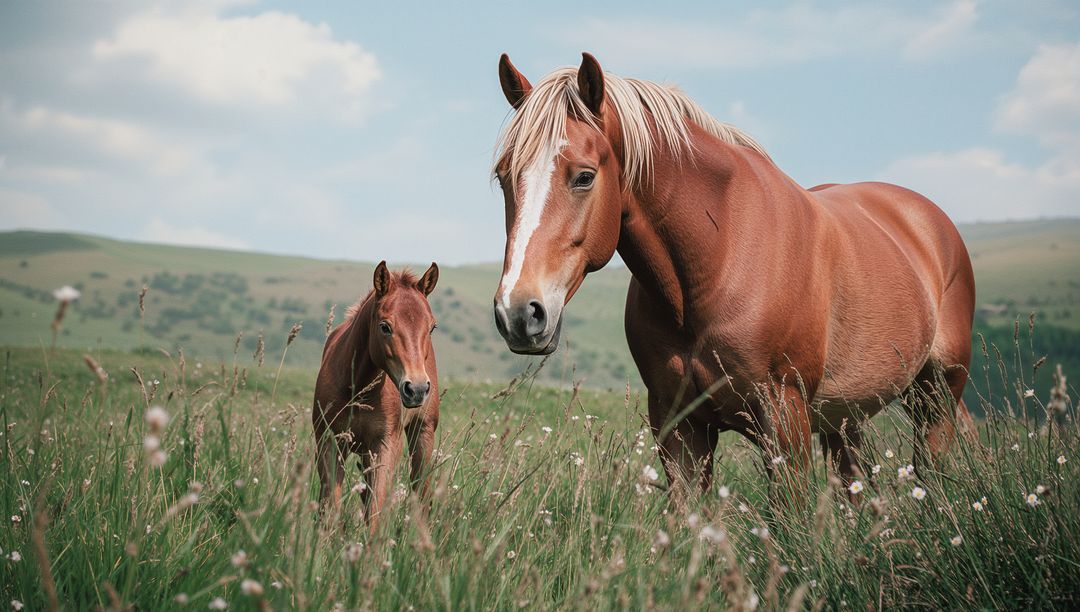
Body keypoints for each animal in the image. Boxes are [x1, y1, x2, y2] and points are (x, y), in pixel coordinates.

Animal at [313, 261, 440, 526]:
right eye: (385, 326)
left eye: (432, 328)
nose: (417, 389)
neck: (357, 389)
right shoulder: (329, 441)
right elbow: (330, 505)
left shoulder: (385, 444)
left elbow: (376, 511)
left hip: (422, 431)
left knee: (420, 493)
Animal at [490, 52, 975, 500]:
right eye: (502, 177)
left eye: (585, 177)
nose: (519, 313)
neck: (720, 260)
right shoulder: (679, 429)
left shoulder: (784, 420)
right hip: (844, 419)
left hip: (936, 396)